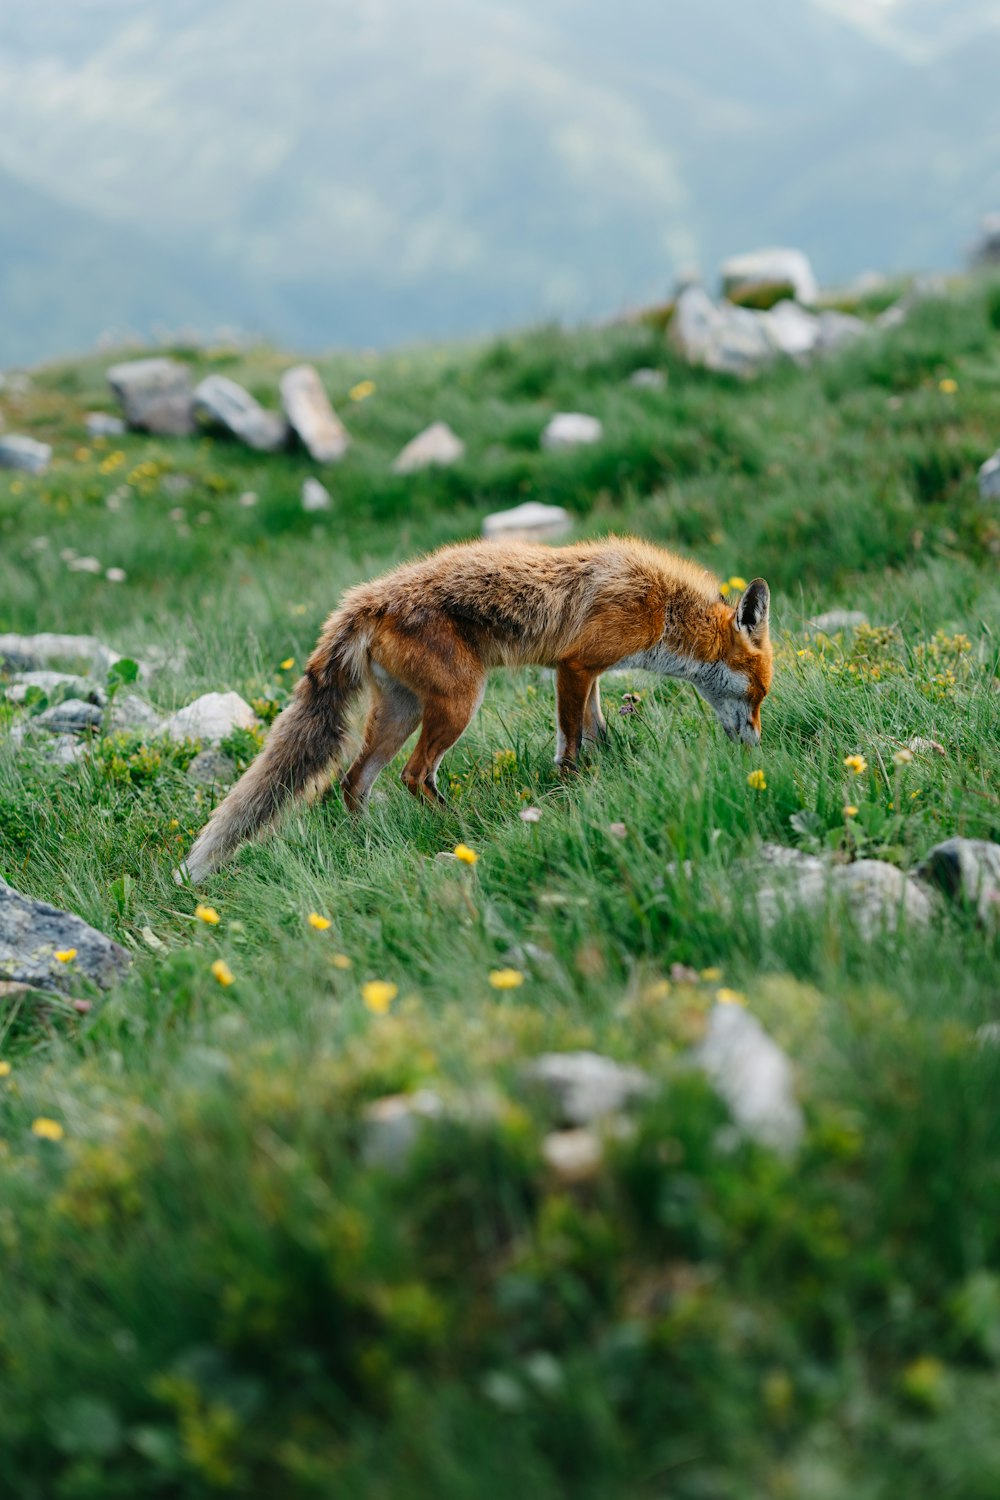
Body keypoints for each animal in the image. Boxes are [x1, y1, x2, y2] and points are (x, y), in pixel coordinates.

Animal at [182, 537, 773, 876]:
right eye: (758, 694)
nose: (756, 746)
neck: (662, 608)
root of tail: (367, 598)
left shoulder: (587, 675)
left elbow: (598, 734)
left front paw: (611, 770)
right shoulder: (574, 667)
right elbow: (570, 748)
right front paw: (569, 793)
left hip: (401, 712)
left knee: (354, 781)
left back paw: (369, 841)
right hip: (461, 702)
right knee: (414, 776)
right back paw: (459, 828)